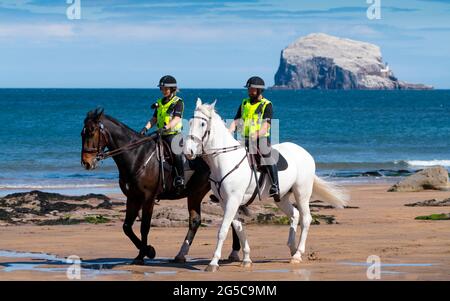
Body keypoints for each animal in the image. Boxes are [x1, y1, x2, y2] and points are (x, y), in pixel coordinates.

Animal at [81, 109, 243, 264]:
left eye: (91, 132)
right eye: (82, 133)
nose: (86, 163)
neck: (137, 155)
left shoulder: (148, 197)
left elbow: (144, 227)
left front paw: (144, 254)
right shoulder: (133, 197)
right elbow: (127, 227)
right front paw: (147, 251)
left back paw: (233, 252)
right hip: (196, 193)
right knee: (200, 221)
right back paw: (183, 255)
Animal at [185, 99, 350, 272]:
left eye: (203, 124)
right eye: (190, 122)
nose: (188, 151)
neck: (225, 160)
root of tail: (306, 153)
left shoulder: (233, 200)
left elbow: (223, 230)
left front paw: (213, 263)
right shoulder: (225, 203)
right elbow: (238, 228)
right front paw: (247, 259)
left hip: (302, 192)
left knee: (306, 218)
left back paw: (298, 254)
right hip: (281, 198)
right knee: (295, 214)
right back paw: (292, 249)